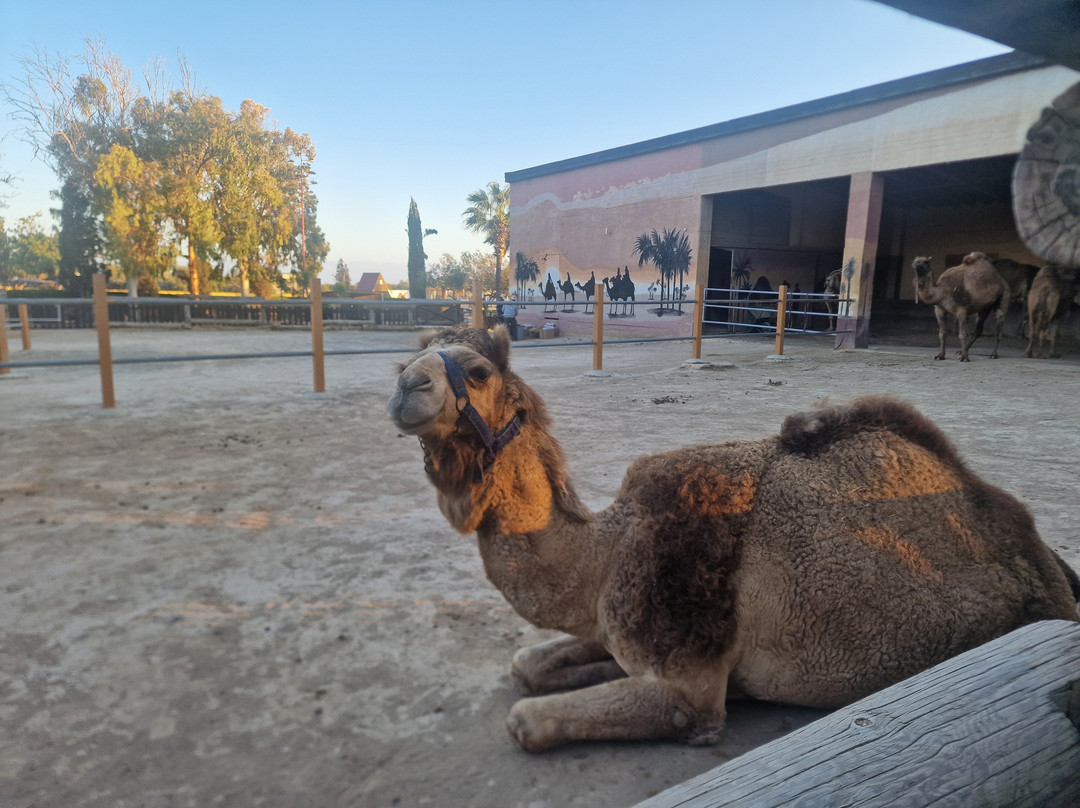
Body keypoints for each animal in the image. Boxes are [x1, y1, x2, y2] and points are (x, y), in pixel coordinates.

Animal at [388, 325, 1080, 752]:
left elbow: (526, 719)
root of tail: (1044, 560)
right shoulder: (618, 628)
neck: (604, 558)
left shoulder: (688, 682)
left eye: (477, 371)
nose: (404, 387)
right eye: (403, 362)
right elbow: (526, 665)